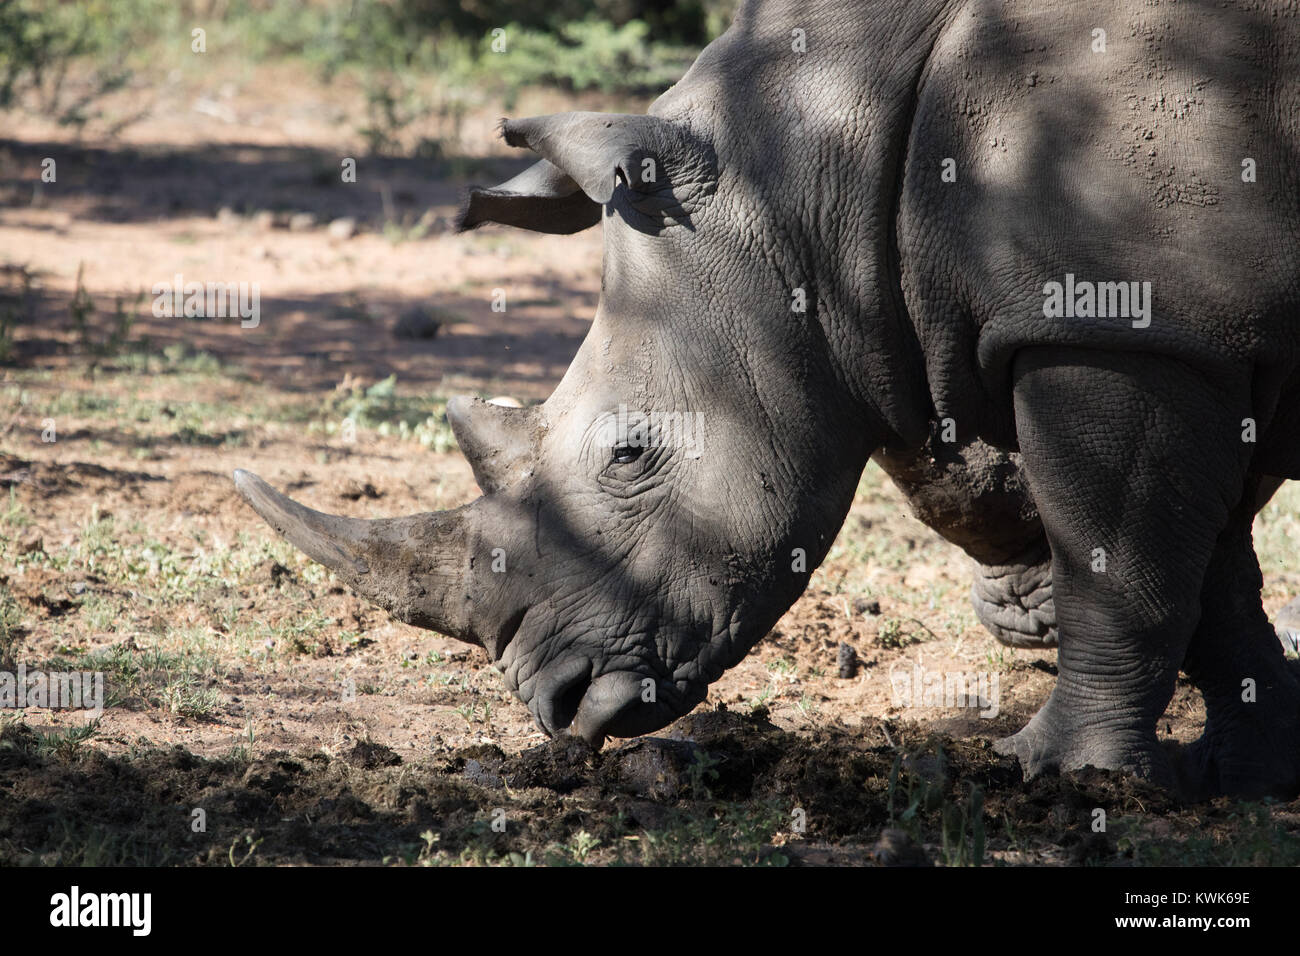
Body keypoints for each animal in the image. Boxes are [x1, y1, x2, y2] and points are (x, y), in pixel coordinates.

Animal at [235, 0, 1300, 797]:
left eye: (631, 453)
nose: (558, 707)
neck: (815, 151)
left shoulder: (1114, 325)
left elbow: (1118, 560)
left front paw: (1060, 779)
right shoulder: (1186, 335)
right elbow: (1205, 575)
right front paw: (1244, 778)